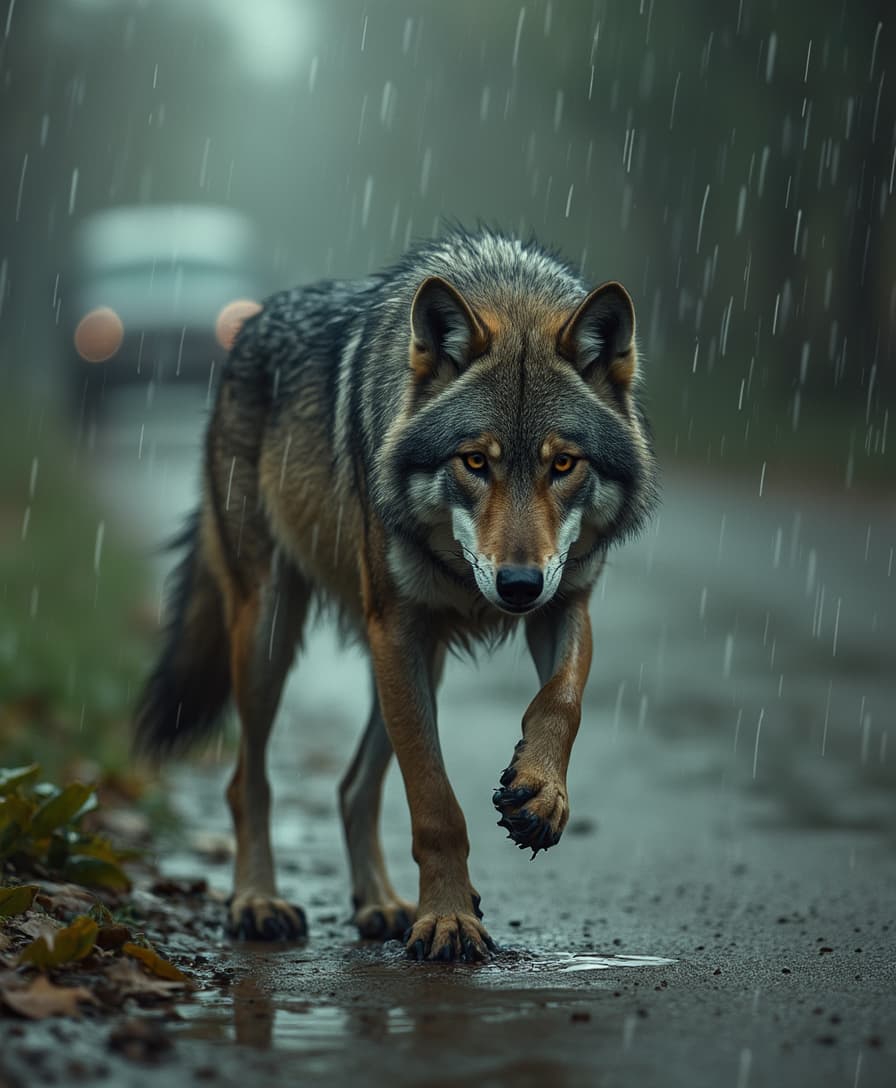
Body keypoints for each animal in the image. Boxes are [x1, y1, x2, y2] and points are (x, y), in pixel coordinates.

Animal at [135, 228, 658, 962]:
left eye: (563, 464)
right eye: (475, 461)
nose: (516, 585)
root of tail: (246, 328)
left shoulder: (563, 604)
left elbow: (562, 701)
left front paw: (540, 794)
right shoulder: (398, 627)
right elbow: (435, 804)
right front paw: (448, 920)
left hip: (415, 663)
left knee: (352, 785)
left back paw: (379, 904)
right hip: (274, 634)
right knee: (247, 781)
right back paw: (258, 901)